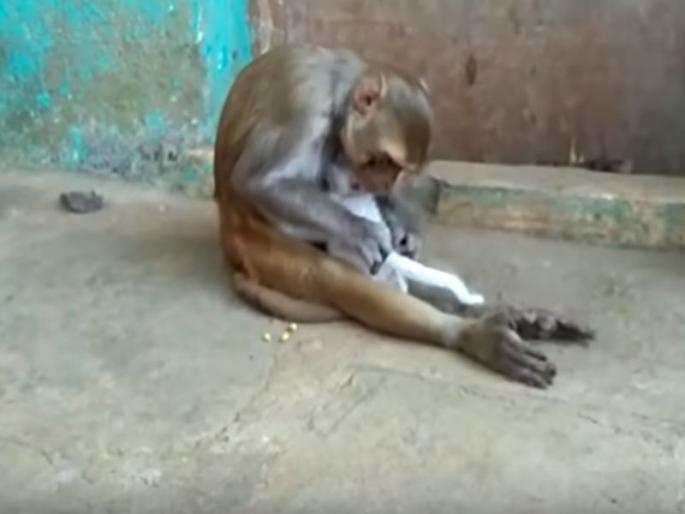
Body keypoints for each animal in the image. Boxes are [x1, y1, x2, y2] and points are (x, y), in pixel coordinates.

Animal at [213, 45, 594, 389]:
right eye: (381, 161)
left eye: (396, 169)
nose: (382, 183)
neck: (340, 91)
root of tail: (229, 244)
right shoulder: (305, 109)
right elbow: (260, 181)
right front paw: (363, 232)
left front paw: (402, 229)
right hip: (261, 249)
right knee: (337, 277)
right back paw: (469, 333)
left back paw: (491, 315)